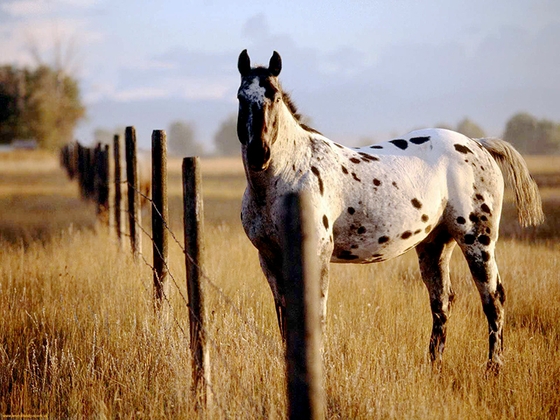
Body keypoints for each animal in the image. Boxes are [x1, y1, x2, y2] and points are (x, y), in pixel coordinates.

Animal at [236, 49, 544, 370]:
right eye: (241, 97)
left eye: (274, 97)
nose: (259, 154)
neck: (290, 174)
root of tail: (478, 144)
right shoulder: (270, 259)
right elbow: (284, 317)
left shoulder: (316, 254)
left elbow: (315, 313)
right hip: (435, 244)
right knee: (442, 301)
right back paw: (434, 366)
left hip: (477, 240)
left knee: (493, 299)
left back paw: (492, 368)